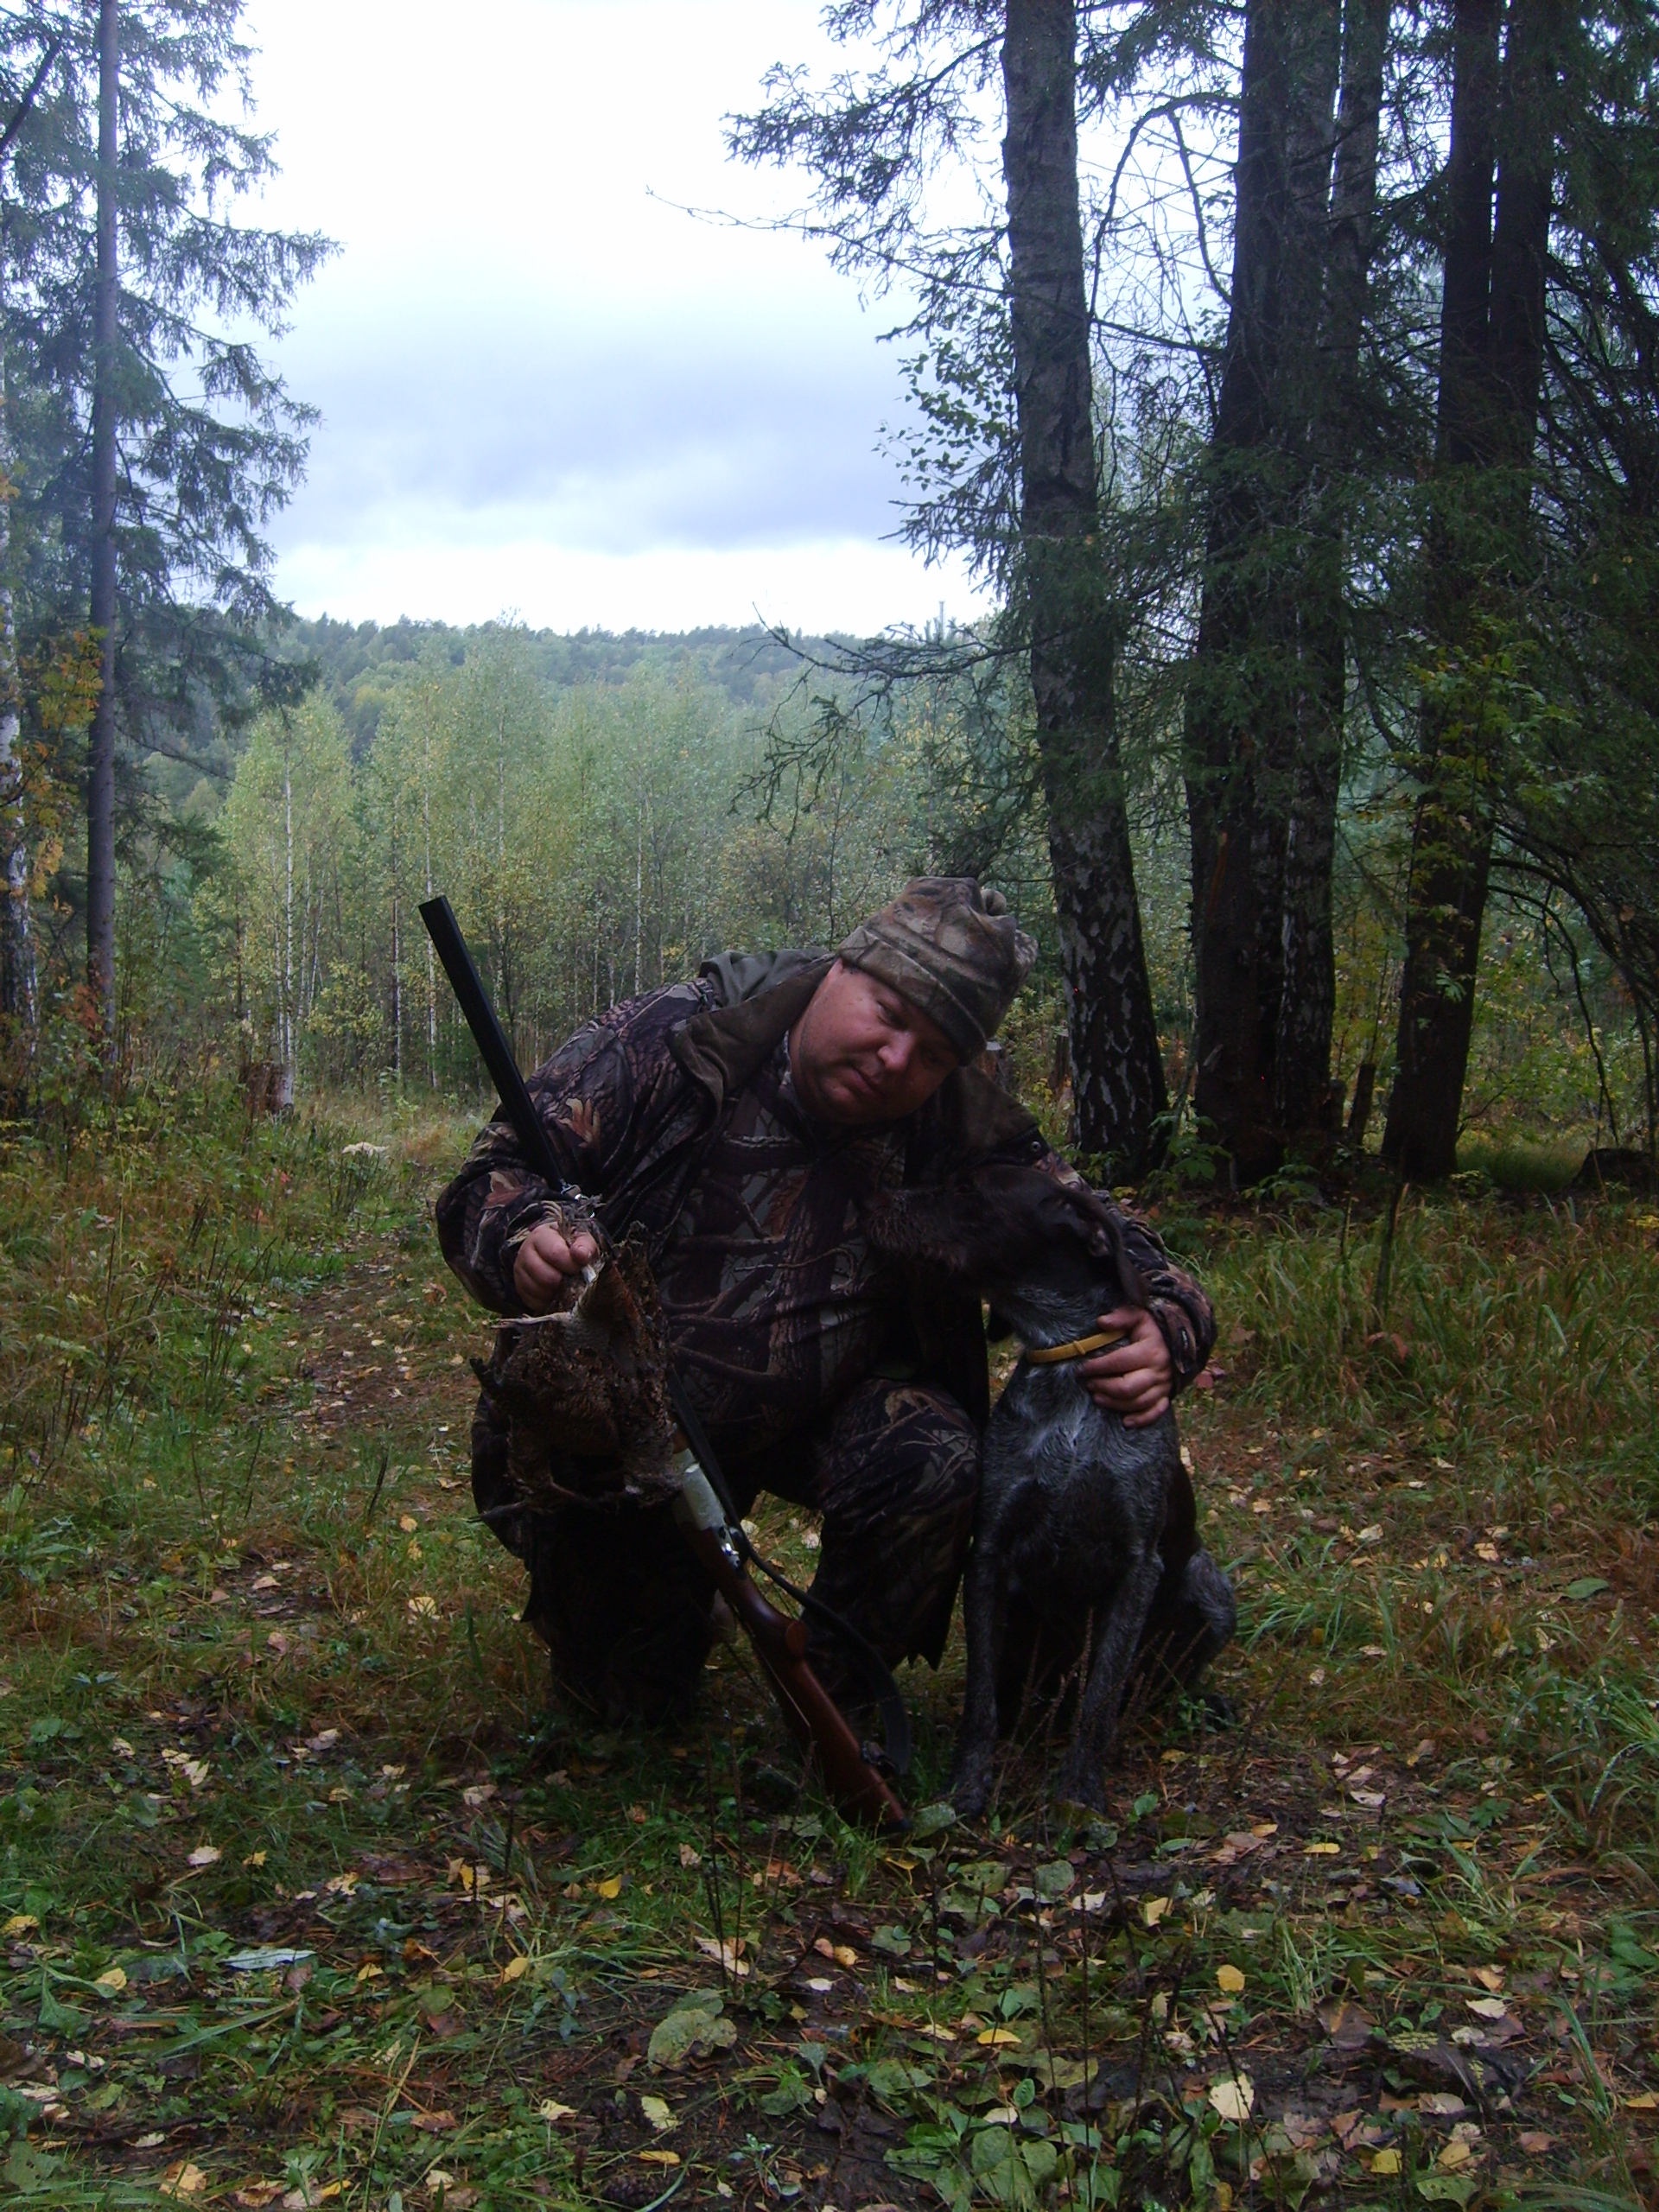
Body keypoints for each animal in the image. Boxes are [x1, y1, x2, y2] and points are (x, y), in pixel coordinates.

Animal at [867, 1165, 1235, 1813]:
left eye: (967, 1192)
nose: (875, 1198)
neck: (1067, 1360)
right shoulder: (989, 1555)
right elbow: (981, 1699)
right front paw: (968, 1786)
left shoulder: (1138, 1567)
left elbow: (1100, 1699)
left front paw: (1080, 1796)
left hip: (1210, 1588)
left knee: (1141, 1692)